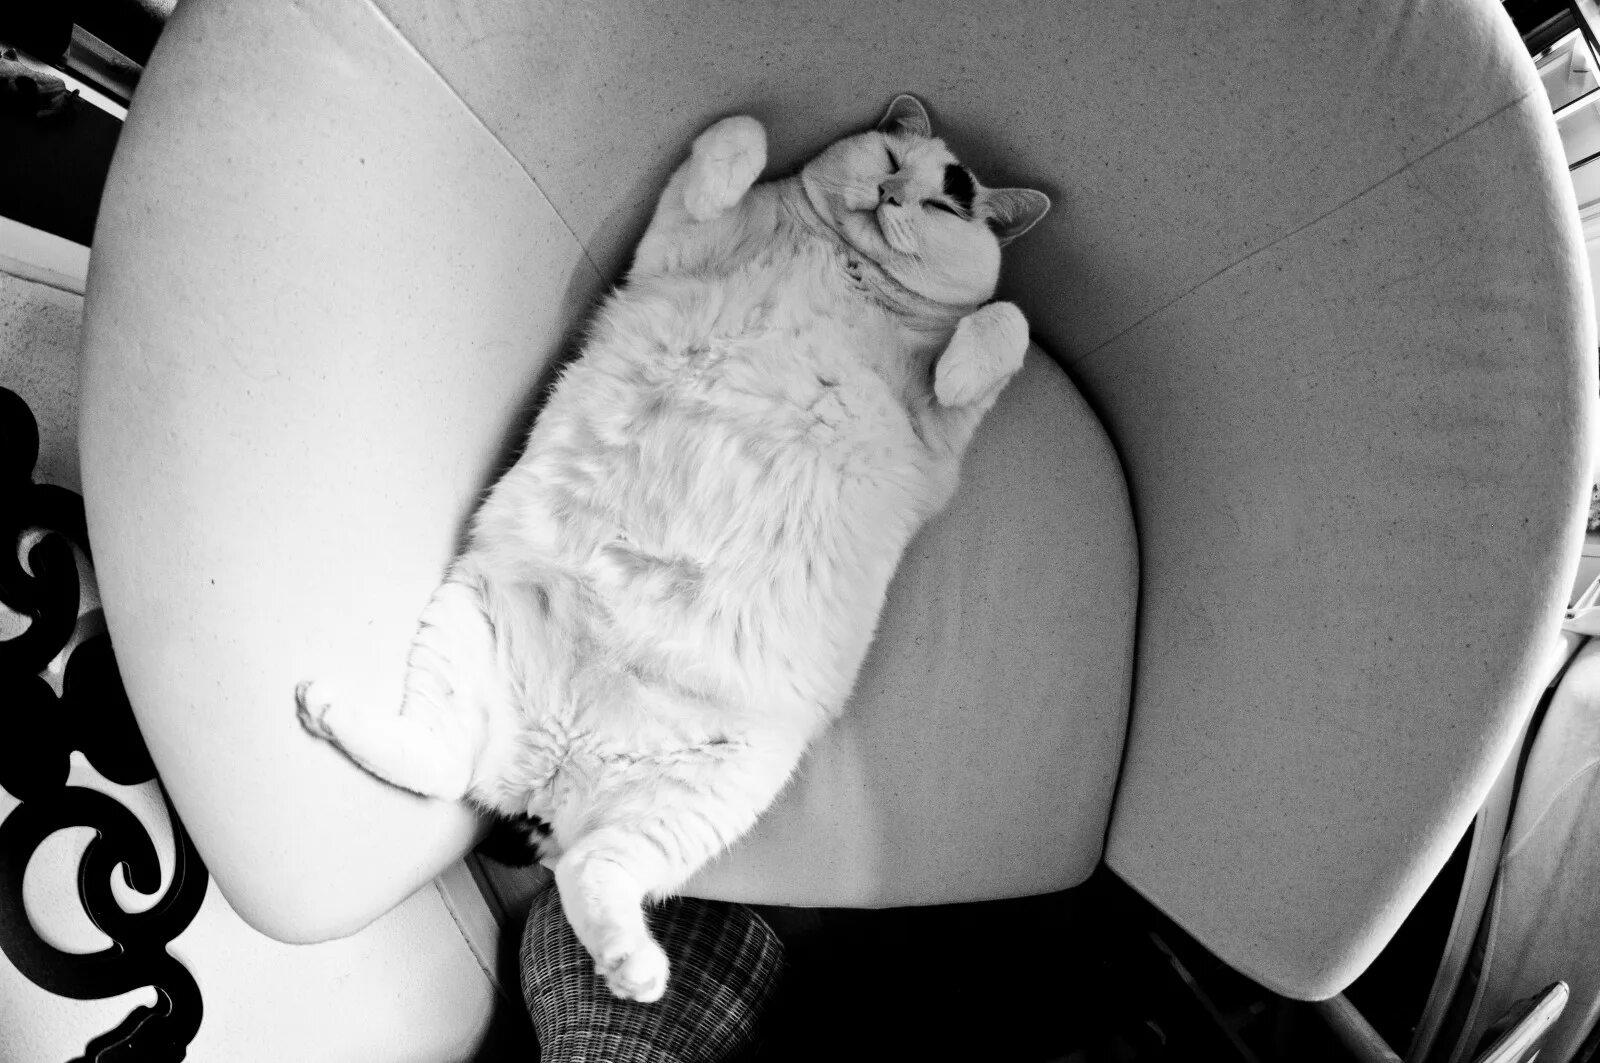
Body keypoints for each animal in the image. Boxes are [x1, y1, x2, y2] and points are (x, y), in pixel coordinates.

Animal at [296, 93, 1050, 1002]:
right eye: (890, 158)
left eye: (947, 202)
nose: (891, 194)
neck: (849, 263)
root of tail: (553, 767)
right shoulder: (679, 243)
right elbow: (739, 138)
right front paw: (748, 132)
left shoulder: (940, 438)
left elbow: (1004, 320)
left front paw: (968, 349)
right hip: (470, 613)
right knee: (450, 769)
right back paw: (327, 708)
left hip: (712, 793)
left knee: (587, 867)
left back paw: (637, 972)